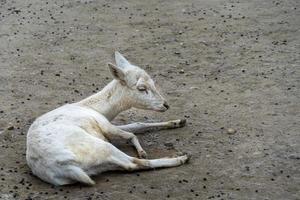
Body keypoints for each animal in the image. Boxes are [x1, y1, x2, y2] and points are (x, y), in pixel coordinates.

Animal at [26, 52, 190, 186]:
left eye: (153, 83)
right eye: (142, 88)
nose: (166, 105)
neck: (98, 109)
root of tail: (66, 167)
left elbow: (138, 124)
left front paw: (178, 122)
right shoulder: (104, 124)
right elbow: (131, 134)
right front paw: (142, 150)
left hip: (99, 165)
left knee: (128, 165)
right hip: (101, 147)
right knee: (135, 163)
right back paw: (180, 158)